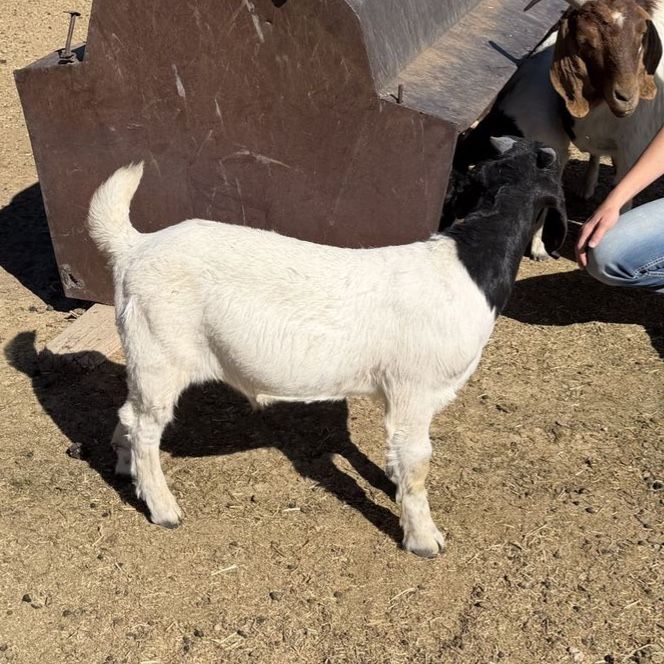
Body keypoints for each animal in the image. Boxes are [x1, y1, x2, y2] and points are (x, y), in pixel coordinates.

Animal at [87, 137, 566, 557]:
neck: (467, 265)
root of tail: (134, 247)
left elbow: (394, 458)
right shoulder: (414, 388)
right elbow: (416, 464)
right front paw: (423, 540)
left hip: (147, 358)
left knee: (127, 413)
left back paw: (126, 468)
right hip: (161, 353)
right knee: (146, 426)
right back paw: (163, 507)